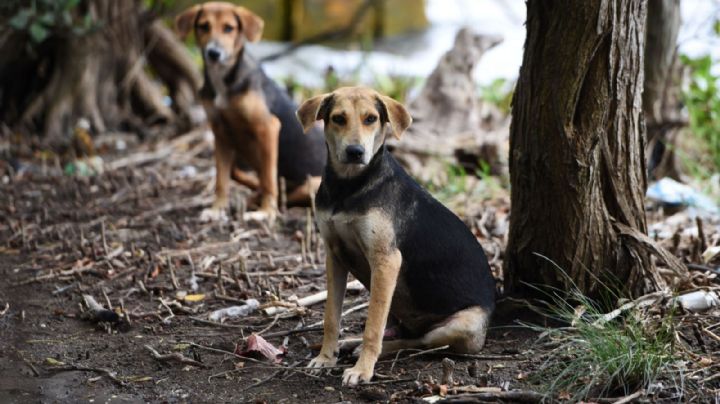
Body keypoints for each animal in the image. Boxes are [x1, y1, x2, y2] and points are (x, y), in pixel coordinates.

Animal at [177, 1, 326, 221]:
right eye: (203, 26)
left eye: (228, 28)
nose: (214, 53)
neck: (224, 80)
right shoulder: (220, 132)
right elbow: (222, 178)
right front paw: (217, 209)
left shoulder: (268, 128)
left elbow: (268, 178)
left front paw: (266, 212)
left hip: (312, 183)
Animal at [296, 87, 496, 386]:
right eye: (338, 118)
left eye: (370, 118)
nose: (355, 152)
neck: (348, 186)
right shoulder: (334, 255)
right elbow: (331, 317)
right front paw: (325, 358)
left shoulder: (386, 260)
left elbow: (373, 326)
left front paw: (362, 370)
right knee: (404, 333)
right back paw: (350, 343)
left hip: (463, 325)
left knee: (422, 341)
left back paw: (366, 349)